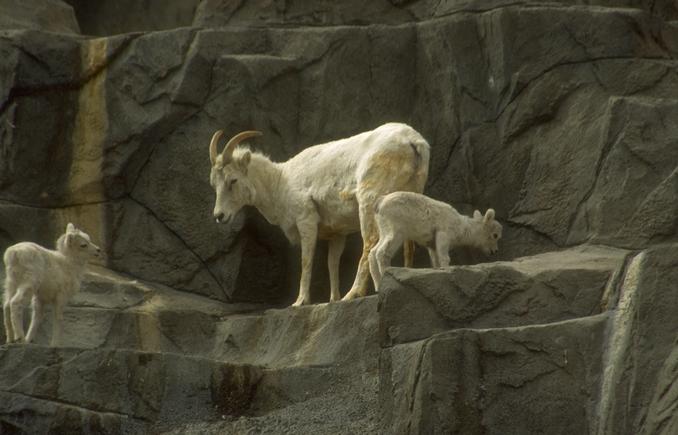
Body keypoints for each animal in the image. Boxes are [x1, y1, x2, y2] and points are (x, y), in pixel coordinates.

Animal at [209, 122, 430, 306]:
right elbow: (332, 263)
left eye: (232, 180)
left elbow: (306, 260)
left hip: (369, 202)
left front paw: (300, 302)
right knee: (408, 243)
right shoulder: (337, 234)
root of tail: (412, 141)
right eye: (214, 183)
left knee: (369, 244)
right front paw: (332, 299)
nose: (219, 216)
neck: (280, 182)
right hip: (409, 196)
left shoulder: (306, 220)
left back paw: (353, 294)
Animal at [370, 193, 502, 290]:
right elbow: (444, 258)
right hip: (396, 232)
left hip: (383, 231)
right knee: (382, 252)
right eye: (495, 235)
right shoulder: (443, 235)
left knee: (372, 253)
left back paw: (377, 286)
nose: (495, 251)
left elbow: (436, 261)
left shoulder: (432, 245)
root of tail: (380, 202)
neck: (462, 228)